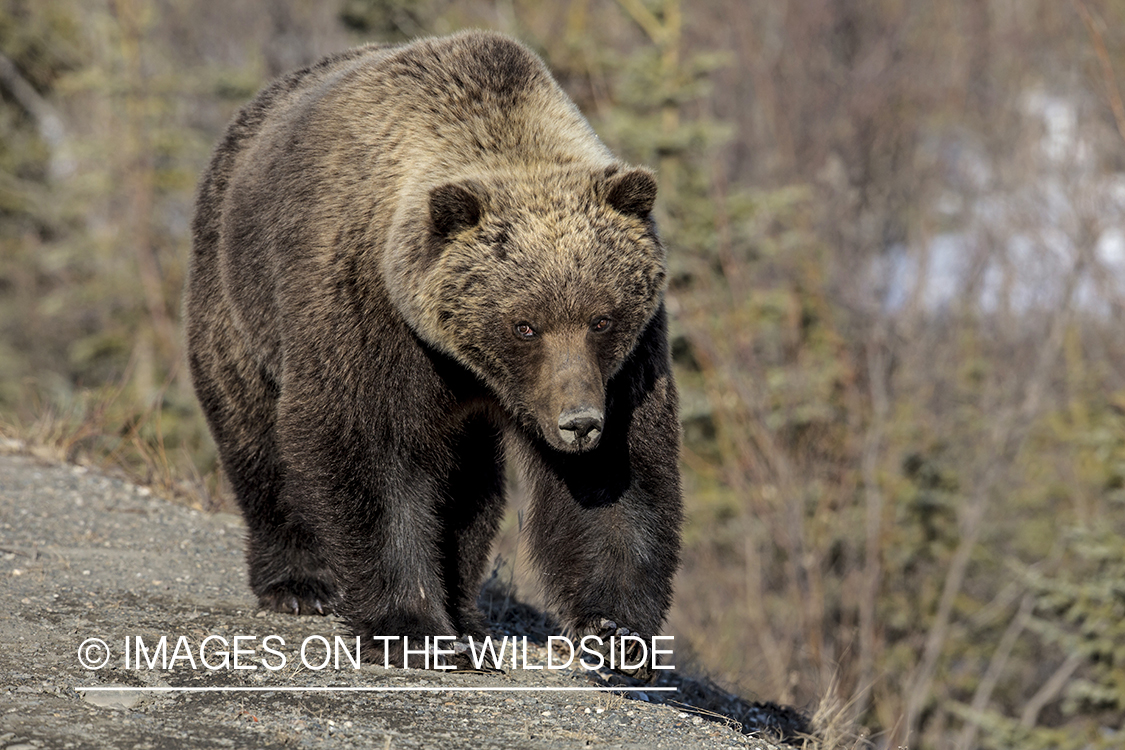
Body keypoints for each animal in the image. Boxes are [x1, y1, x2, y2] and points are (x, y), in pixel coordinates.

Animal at [184, 30, 682, 675]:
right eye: (524, 325)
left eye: (601, 318)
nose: (578, 423)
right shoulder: (370, 312)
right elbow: (371, 450)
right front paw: (413, 628)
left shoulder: (625, 362)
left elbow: (618, 476)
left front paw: (615, 632)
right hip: (238, 295)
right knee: (254, 429)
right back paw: (300, 582)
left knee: (468, 486)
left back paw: (467, 614)